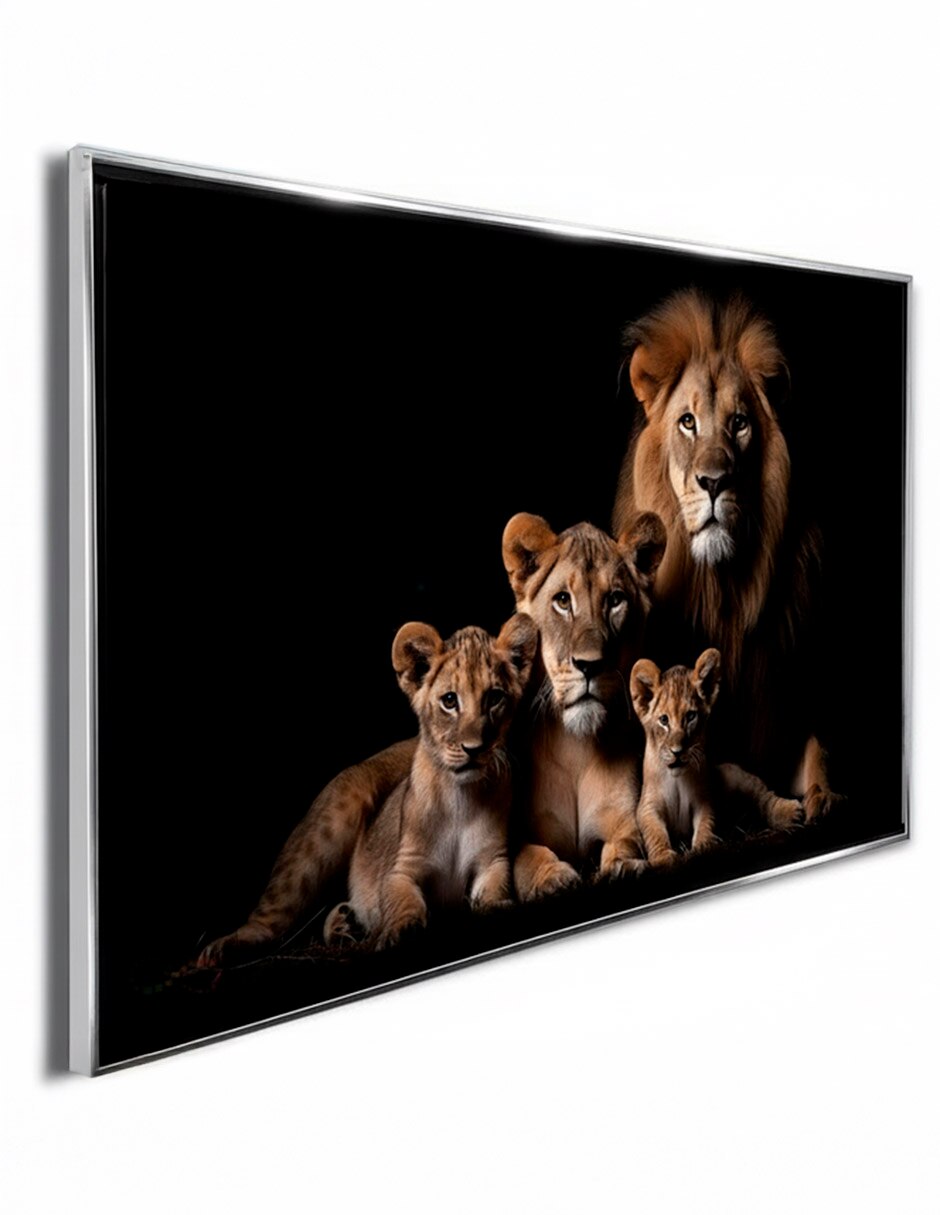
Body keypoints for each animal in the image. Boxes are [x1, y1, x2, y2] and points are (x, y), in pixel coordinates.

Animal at [323, 615, 537, 950]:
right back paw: (346, 926)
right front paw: (399, 932)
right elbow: (403, 901)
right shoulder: (402, 868)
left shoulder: (492, 859)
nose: (474, 749)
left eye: (494, 698)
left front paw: (497, 907)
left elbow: (494, 889)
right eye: (450, 701)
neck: (460, 797)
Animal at [502, 510, 667, 899]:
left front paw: (624, 869)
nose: (590, 665)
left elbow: (625, 844)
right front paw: (553, 878)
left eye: (615, 600)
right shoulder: (519, 836)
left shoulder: (623, 820)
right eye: (563, 600)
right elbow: (528, 859)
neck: (575, 748)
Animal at [613, 288, 839, 820]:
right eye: (688, 422)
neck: (722, 587)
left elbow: (817, 748)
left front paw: (823, 797)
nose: (714, 482)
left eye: (739, 424)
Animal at [630, 648, 803, 867]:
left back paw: (790, 812)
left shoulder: (705, 799)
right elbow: (653, 831)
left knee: (764, 797)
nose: (678, 751)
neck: (677, 778)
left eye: (691, 716)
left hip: (741, 777)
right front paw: (663, 857)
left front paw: (703, 848)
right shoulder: (647, 805)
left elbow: (707, 823)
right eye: (663, 720)